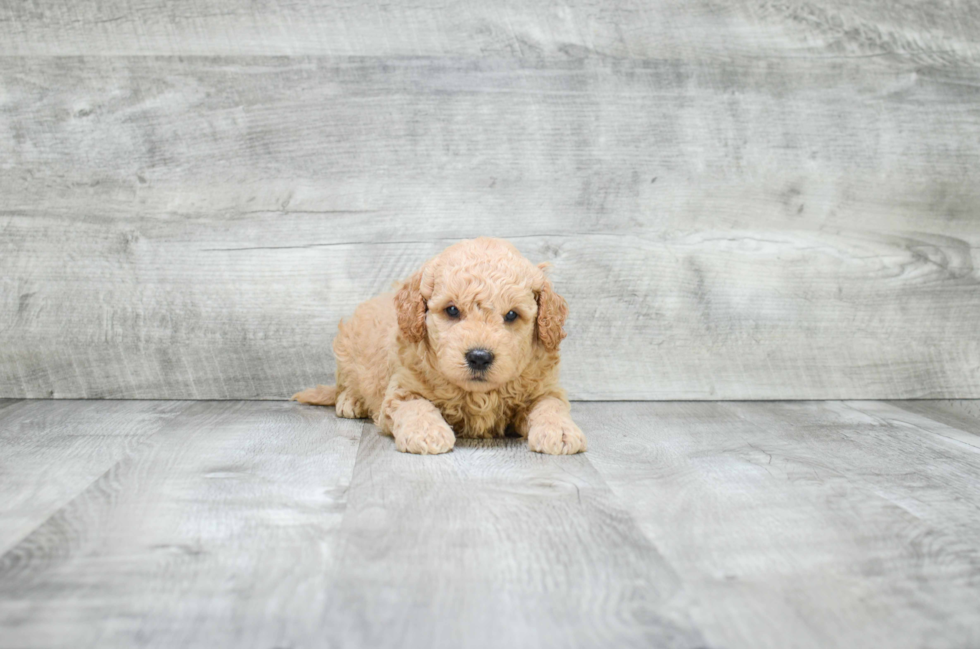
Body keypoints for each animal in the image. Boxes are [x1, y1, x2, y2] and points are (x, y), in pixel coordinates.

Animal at [288, 235, 584, 454]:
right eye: (452, 310)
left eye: (511, 315)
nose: (479, 357)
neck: (479, 395)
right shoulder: (402, 389)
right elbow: (416, 406)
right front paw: (426, 432)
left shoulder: (545, 388)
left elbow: (551, 405)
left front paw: (560, 431)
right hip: (346, 348)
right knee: (345, 384)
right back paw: (351, 401)